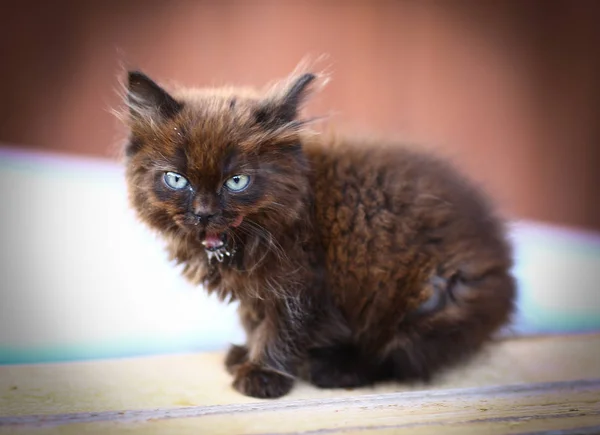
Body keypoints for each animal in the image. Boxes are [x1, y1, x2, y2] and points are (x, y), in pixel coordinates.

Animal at [119, 67, 512, 398]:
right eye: (176, 179)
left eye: (237, 181)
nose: (203, 213)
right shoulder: (258, 290)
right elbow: (253, 320)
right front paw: (246, 355)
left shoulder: (303, 283)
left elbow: (282, 329)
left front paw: (263, 374)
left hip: (435, 297)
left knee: (398, 355)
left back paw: (336, 369)